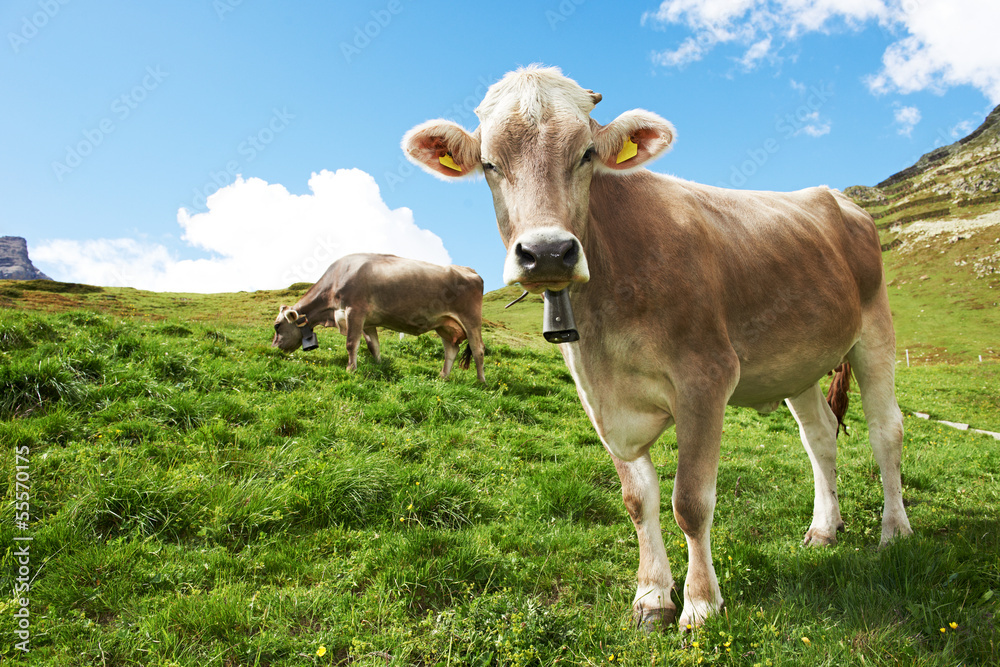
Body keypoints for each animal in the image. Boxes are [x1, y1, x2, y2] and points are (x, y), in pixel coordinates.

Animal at [270, 253, 488, 384]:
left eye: (277, 326)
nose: (273, 349)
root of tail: (469, 270)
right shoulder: (368, 321)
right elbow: (372, 345)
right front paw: (378, 365)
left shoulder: (354, 311)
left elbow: (351, 343)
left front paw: (350, 369)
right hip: (444, 325)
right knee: (451, 350)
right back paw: (442, 377)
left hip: (471, 319)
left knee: (478, 349)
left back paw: (481, 382)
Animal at [402, 66, 912, 632]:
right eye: (491, 163)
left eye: (586, 154)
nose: (548, 252)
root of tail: (837, 198)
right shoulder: (600, 398)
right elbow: (636, 498)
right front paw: (651, 595)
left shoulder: (706, 378)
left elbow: (689, 501)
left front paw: (700, 603)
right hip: (796, 362)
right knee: (819, 436)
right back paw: (824, 528)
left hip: (874, 328)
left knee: (885, 430)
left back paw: (895, 532)